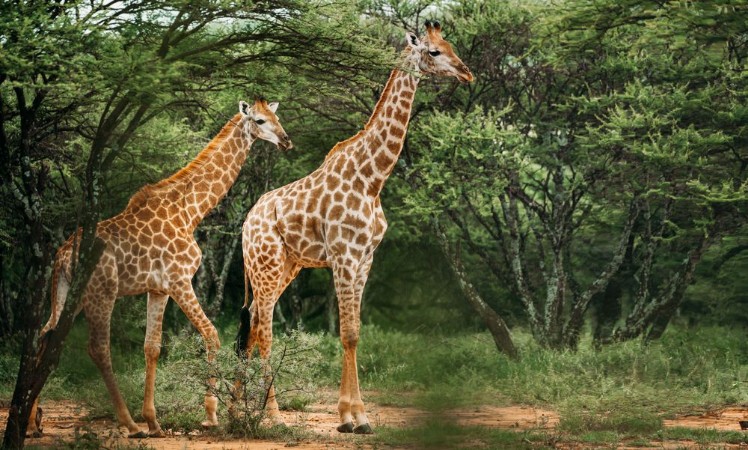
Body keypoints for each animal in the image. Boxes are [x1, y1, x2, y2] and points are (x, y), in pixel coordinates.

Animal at [29, 99, 292, 438]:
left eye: (276, 117)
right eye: (259, 120)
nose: (286, 140)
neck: (190, 211)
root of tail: (63, 257)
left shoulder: (158, 288)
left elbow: (151, 347)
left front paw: (154, 422)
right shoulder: (179, 280)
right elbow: (211, 335)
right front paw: (210, 414)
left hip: (68, 294)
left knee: (46, 335)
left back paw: (32, 422)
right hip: (103, 293)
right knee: (97, 348)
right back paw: (128, 424)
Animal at [236, 21, 473, 434]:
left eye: (450, 44)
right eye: (434, 52)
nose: (467, 73)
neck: (372, 177)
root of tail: (247, 223)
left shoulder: (365, 259)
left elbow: (356, 333)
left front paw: (351, 415)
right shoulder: (344, 256)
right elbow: (346, 333)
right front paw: (354, 418)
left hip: (285, 266)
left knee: (251, 322)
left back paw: (233, 410)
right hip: (265, 264)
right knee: (263, 326)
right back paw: (271, 414)